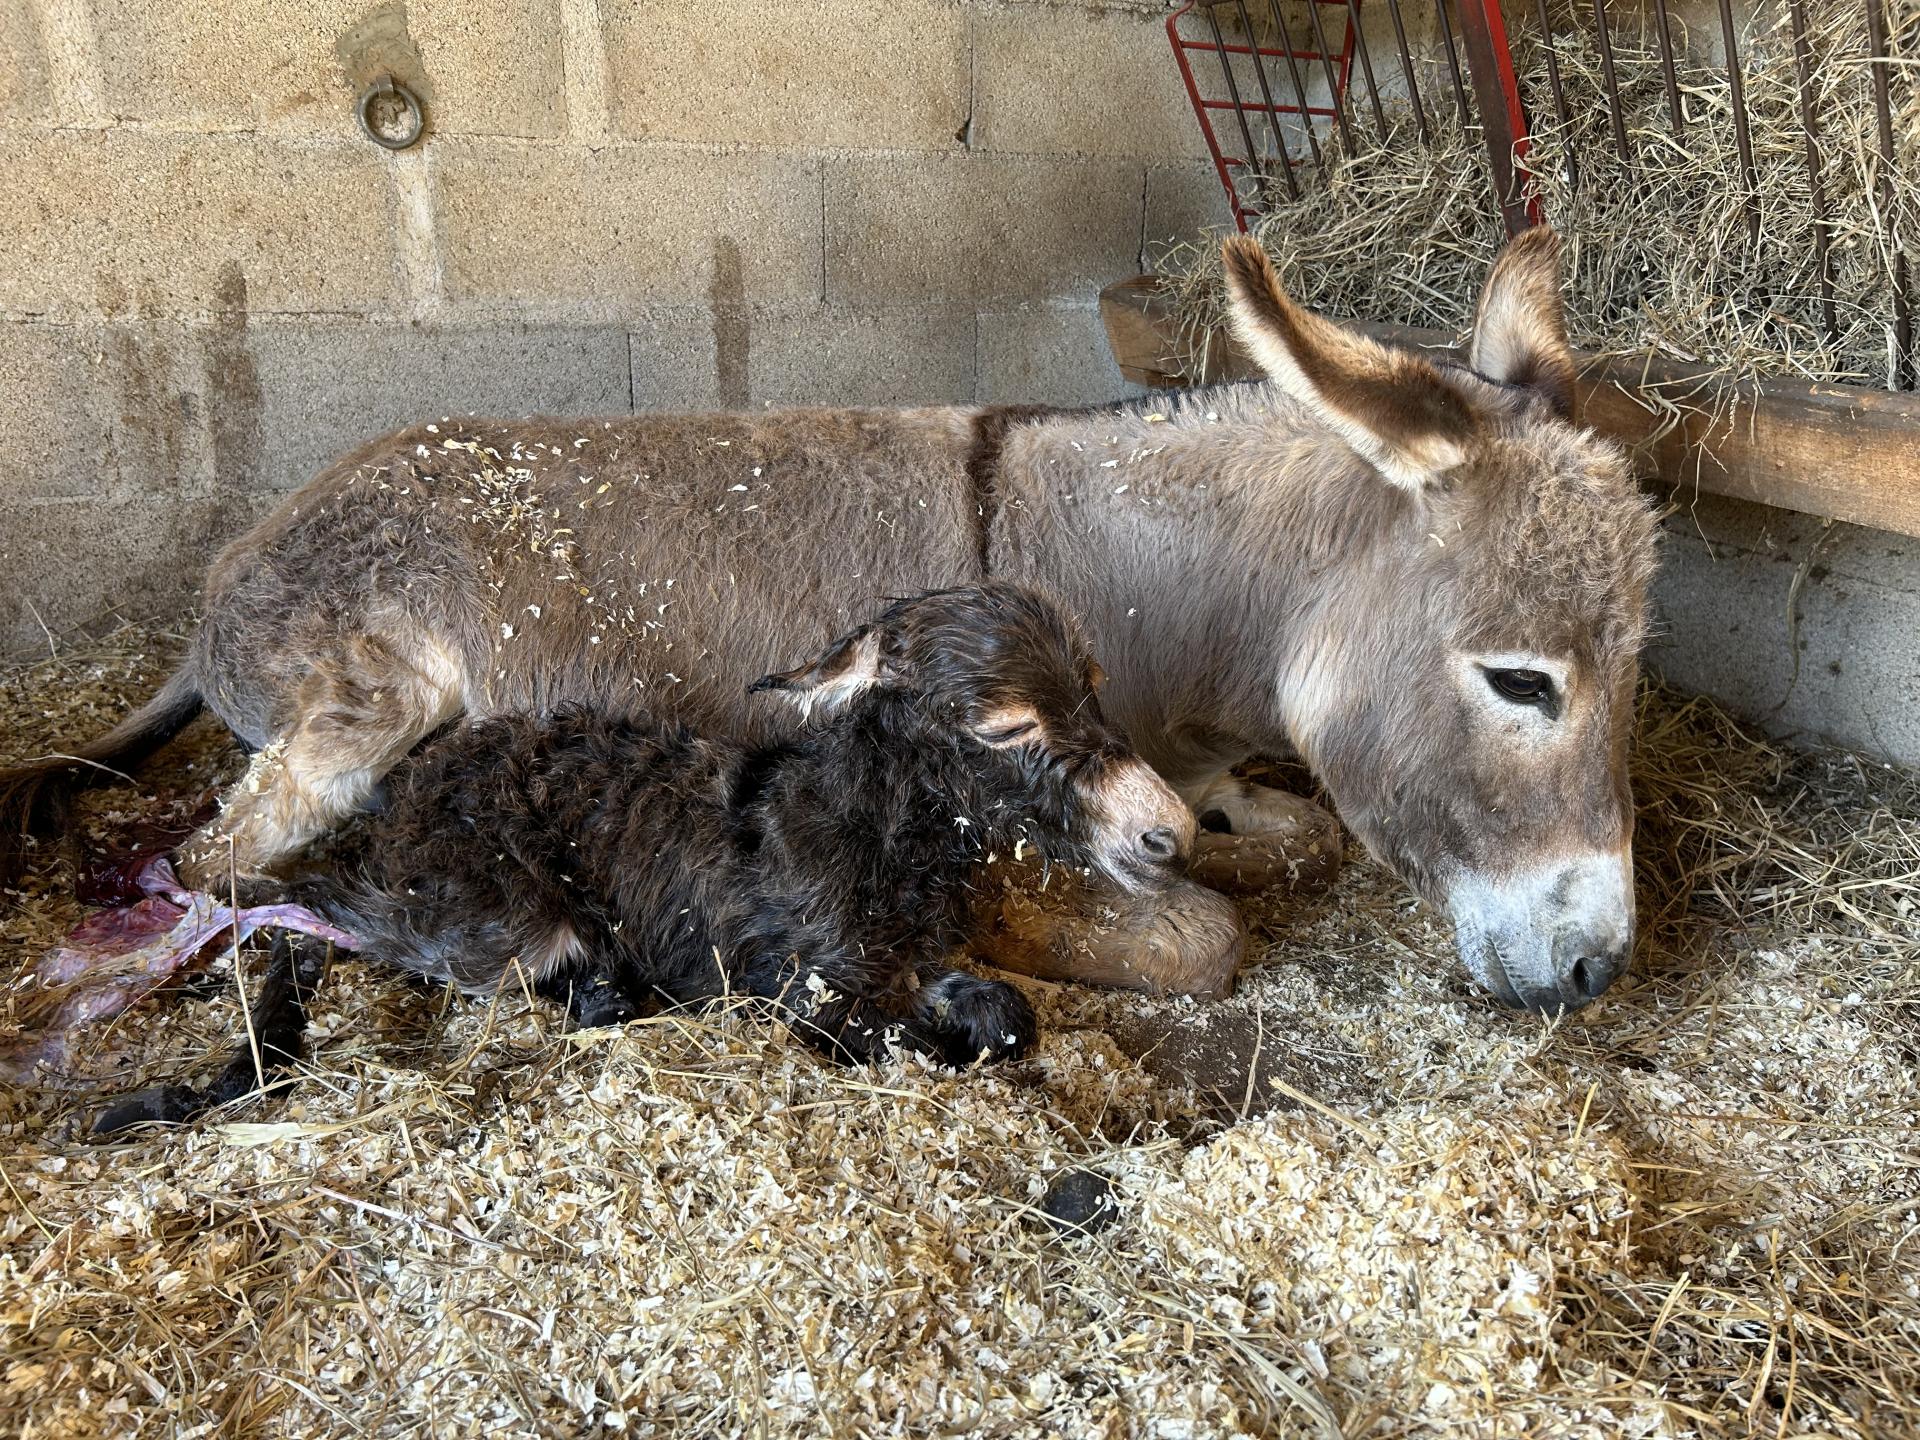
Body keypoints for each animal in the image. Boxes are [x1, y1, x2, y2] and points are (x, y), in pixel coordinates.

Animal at [97, 579, 1190, 1136]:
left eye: (1095, 684)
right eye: (1004, 727)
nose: (1168, 833)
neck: (871, 836)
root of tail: (411, 780)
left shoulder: (910, 961)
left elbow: (1007, 1017)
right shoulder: (809, 993)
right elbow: (915, 1044)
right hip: (488, 918)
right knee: (299, 901)